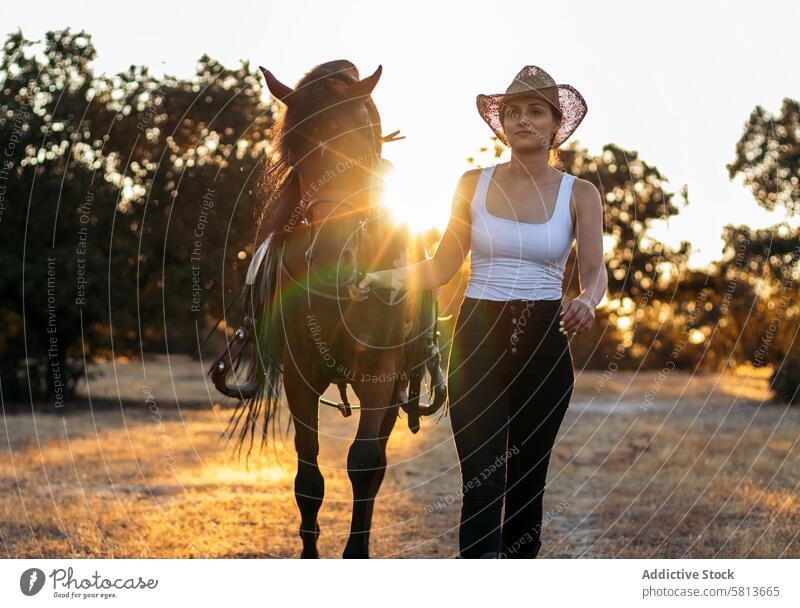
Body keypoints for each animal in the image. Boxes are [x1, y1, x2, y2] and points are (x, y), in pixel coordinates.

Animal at [206, 59, 446, 560]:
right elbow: (309, 476)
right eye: (295, 150)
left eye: (362, 141)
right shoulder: (300, 377)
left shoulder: (380, 375)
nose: (334, 247)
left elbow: (364, 463)